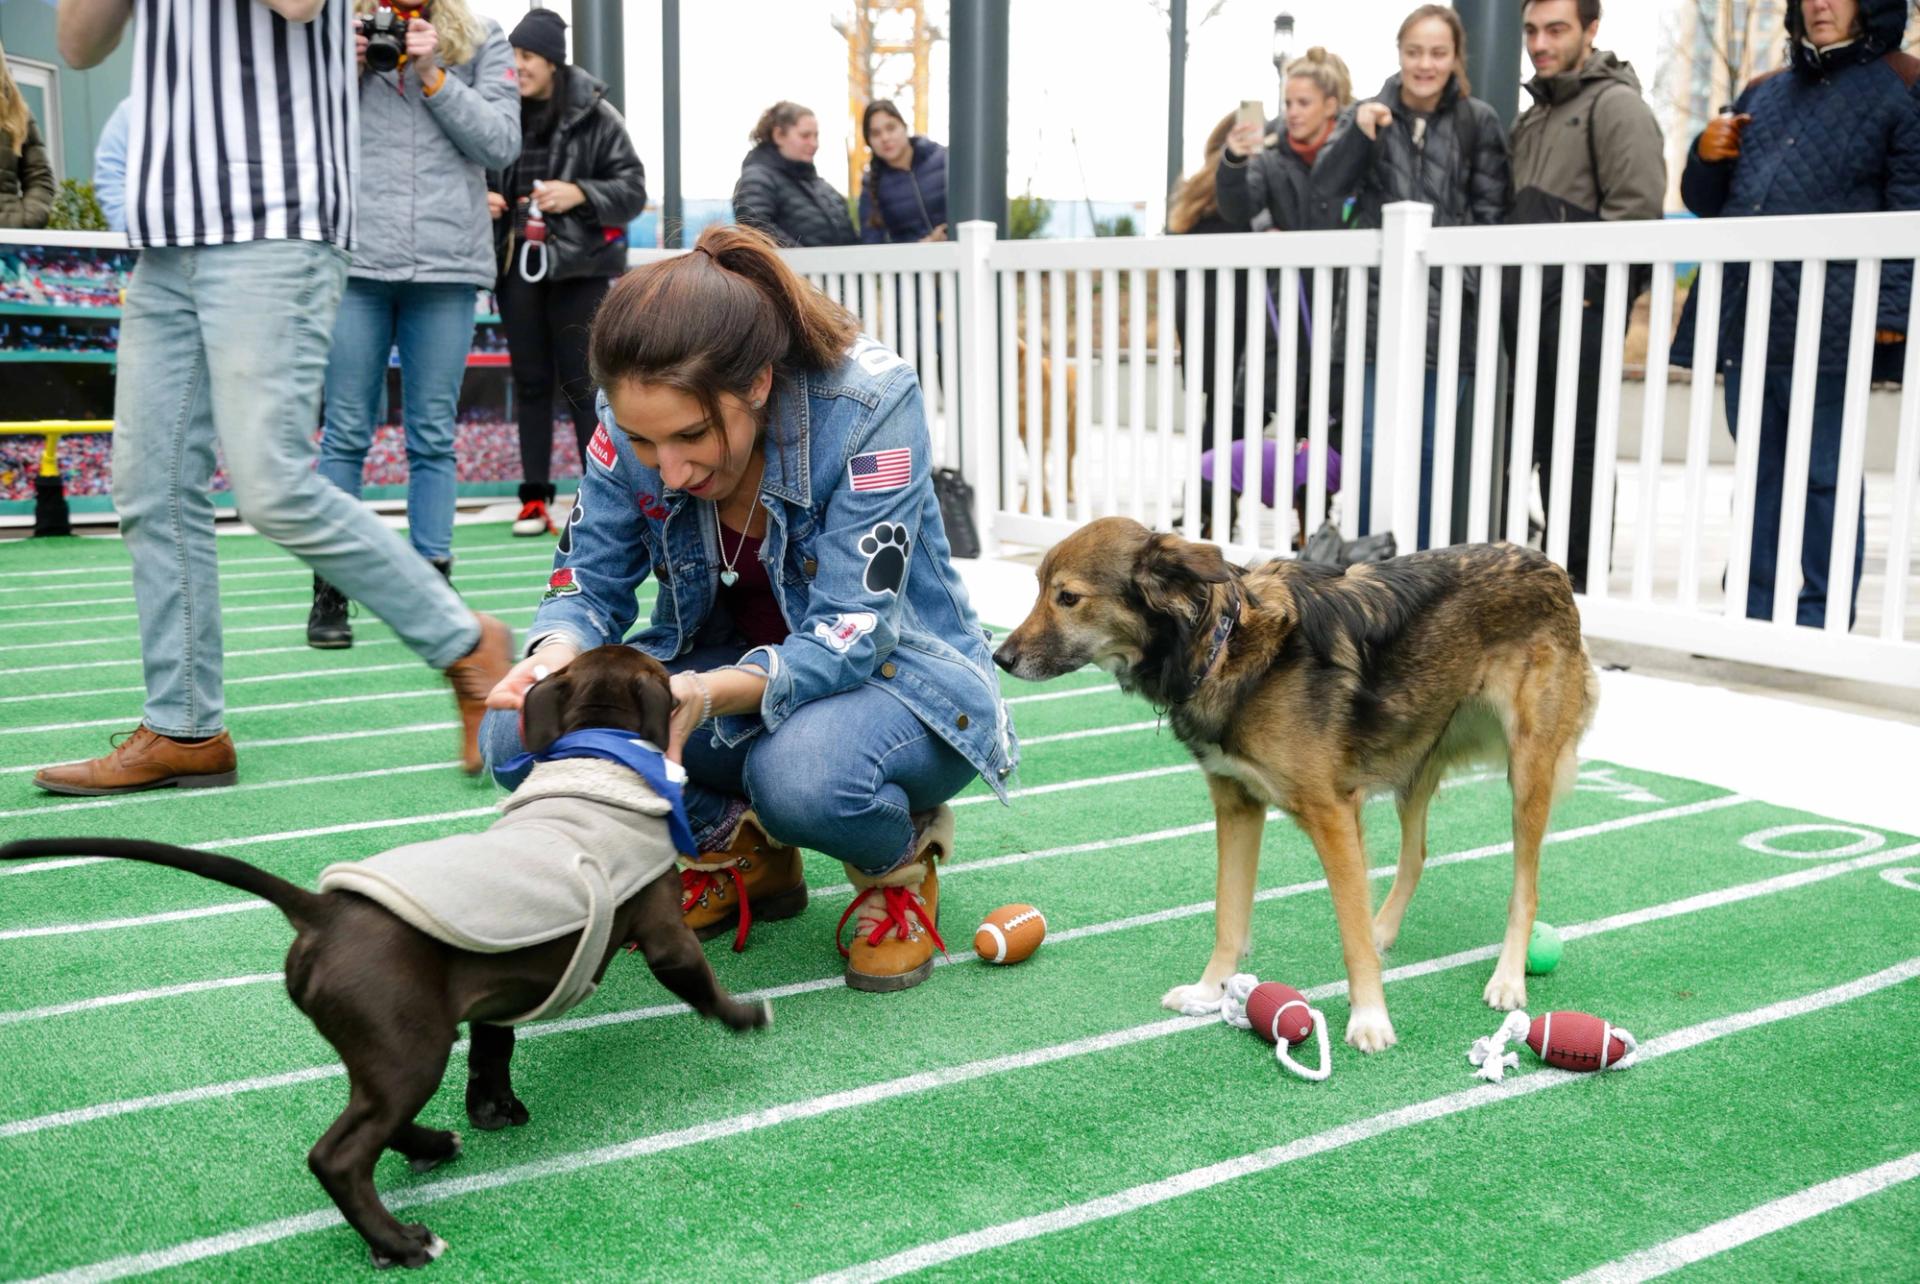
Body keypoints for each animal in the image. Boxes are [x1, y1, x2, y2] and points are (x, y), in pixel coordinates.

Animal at [7, 644, 771, 1266]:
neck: (599, 754)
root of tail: (324, 911)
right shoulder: (663, 933)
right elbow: (699, 983)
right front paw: (745, 1016)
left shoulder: (496, 989)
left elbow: (492, 1056)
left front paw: (493, 1112)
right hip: (407, 1049)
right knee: (338, 1156)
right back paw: (401, 1242)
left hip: (388, 1049)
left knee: (378, 1123)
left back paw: (434, 1148)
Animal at [998, 518, 1597, 1051]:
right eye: (1038, 589)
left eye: (1068, 597)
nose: (1001, 657)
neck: (1223, 645)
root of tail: (1549, 566)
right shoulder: (1236, 806)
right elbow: (1228, 917)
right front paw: (1208, 991)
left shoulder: (1332, 814)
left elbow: (1348, 937)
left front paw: (1371, 1020)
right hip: (1415, 762)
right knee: (1416, 853)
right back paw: (1385, 927)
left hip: (1526, 772)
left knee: (1525, 887)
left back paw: (1507, 978)